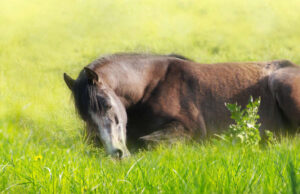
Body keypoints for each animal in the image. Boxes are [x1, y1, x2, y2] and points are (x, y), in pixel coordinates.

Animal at [63, 52, 300, 158]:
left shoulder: (190, 129)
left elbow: (148, 141)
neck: (151, 86)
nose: (116, 153)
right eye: (85, 118)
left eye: (106, 104)